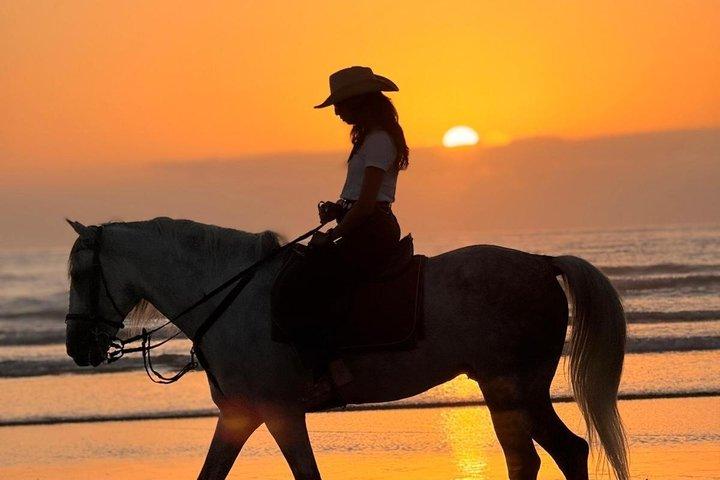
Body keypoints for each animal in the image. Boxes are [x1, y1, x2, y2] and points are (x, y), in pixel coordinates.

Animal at [64, 217, 628, 480]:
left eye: (80, 273)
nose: (77, 347)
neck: (230, 296)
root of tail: (541, 263)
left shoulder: (279, 411)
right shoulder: (240, 415)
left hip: (508, 386)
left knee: (538, 456)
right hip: (517, 389)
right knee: (560, 452)